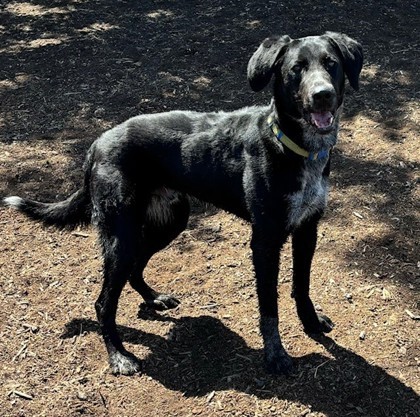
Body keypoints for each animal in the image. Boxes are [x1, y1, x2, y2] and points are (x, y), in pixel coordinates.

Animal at [3, 32, 362, 376]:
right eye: (295, 69)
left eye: (331, 63)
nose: (322, 94)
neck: (291, 145)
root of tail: (96, 145)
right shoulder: (265, 241)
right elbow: (268, 307)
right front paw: (275, 355)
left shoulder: (307, 229)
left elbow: (302, 285)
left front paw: (310, 323)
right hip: (121, 235)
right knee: (104, 302)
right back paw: (119, 356)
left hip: (170, 221)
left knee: (136, 268)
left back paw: (153, 298)